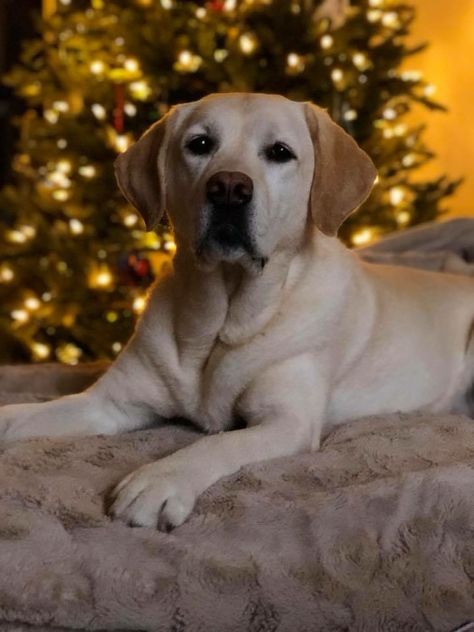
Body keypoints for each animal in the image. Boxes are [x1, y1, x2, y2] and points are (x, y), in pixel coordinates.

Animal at [0, 92, 474, 528]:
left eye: (280, 152)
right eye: (200, 144)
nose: (229, 187)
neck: (220, 320)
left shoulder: (287, 420)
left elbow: (217, 443)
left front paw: (159, 479)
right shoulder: (110, 402)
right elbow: (30, 414)